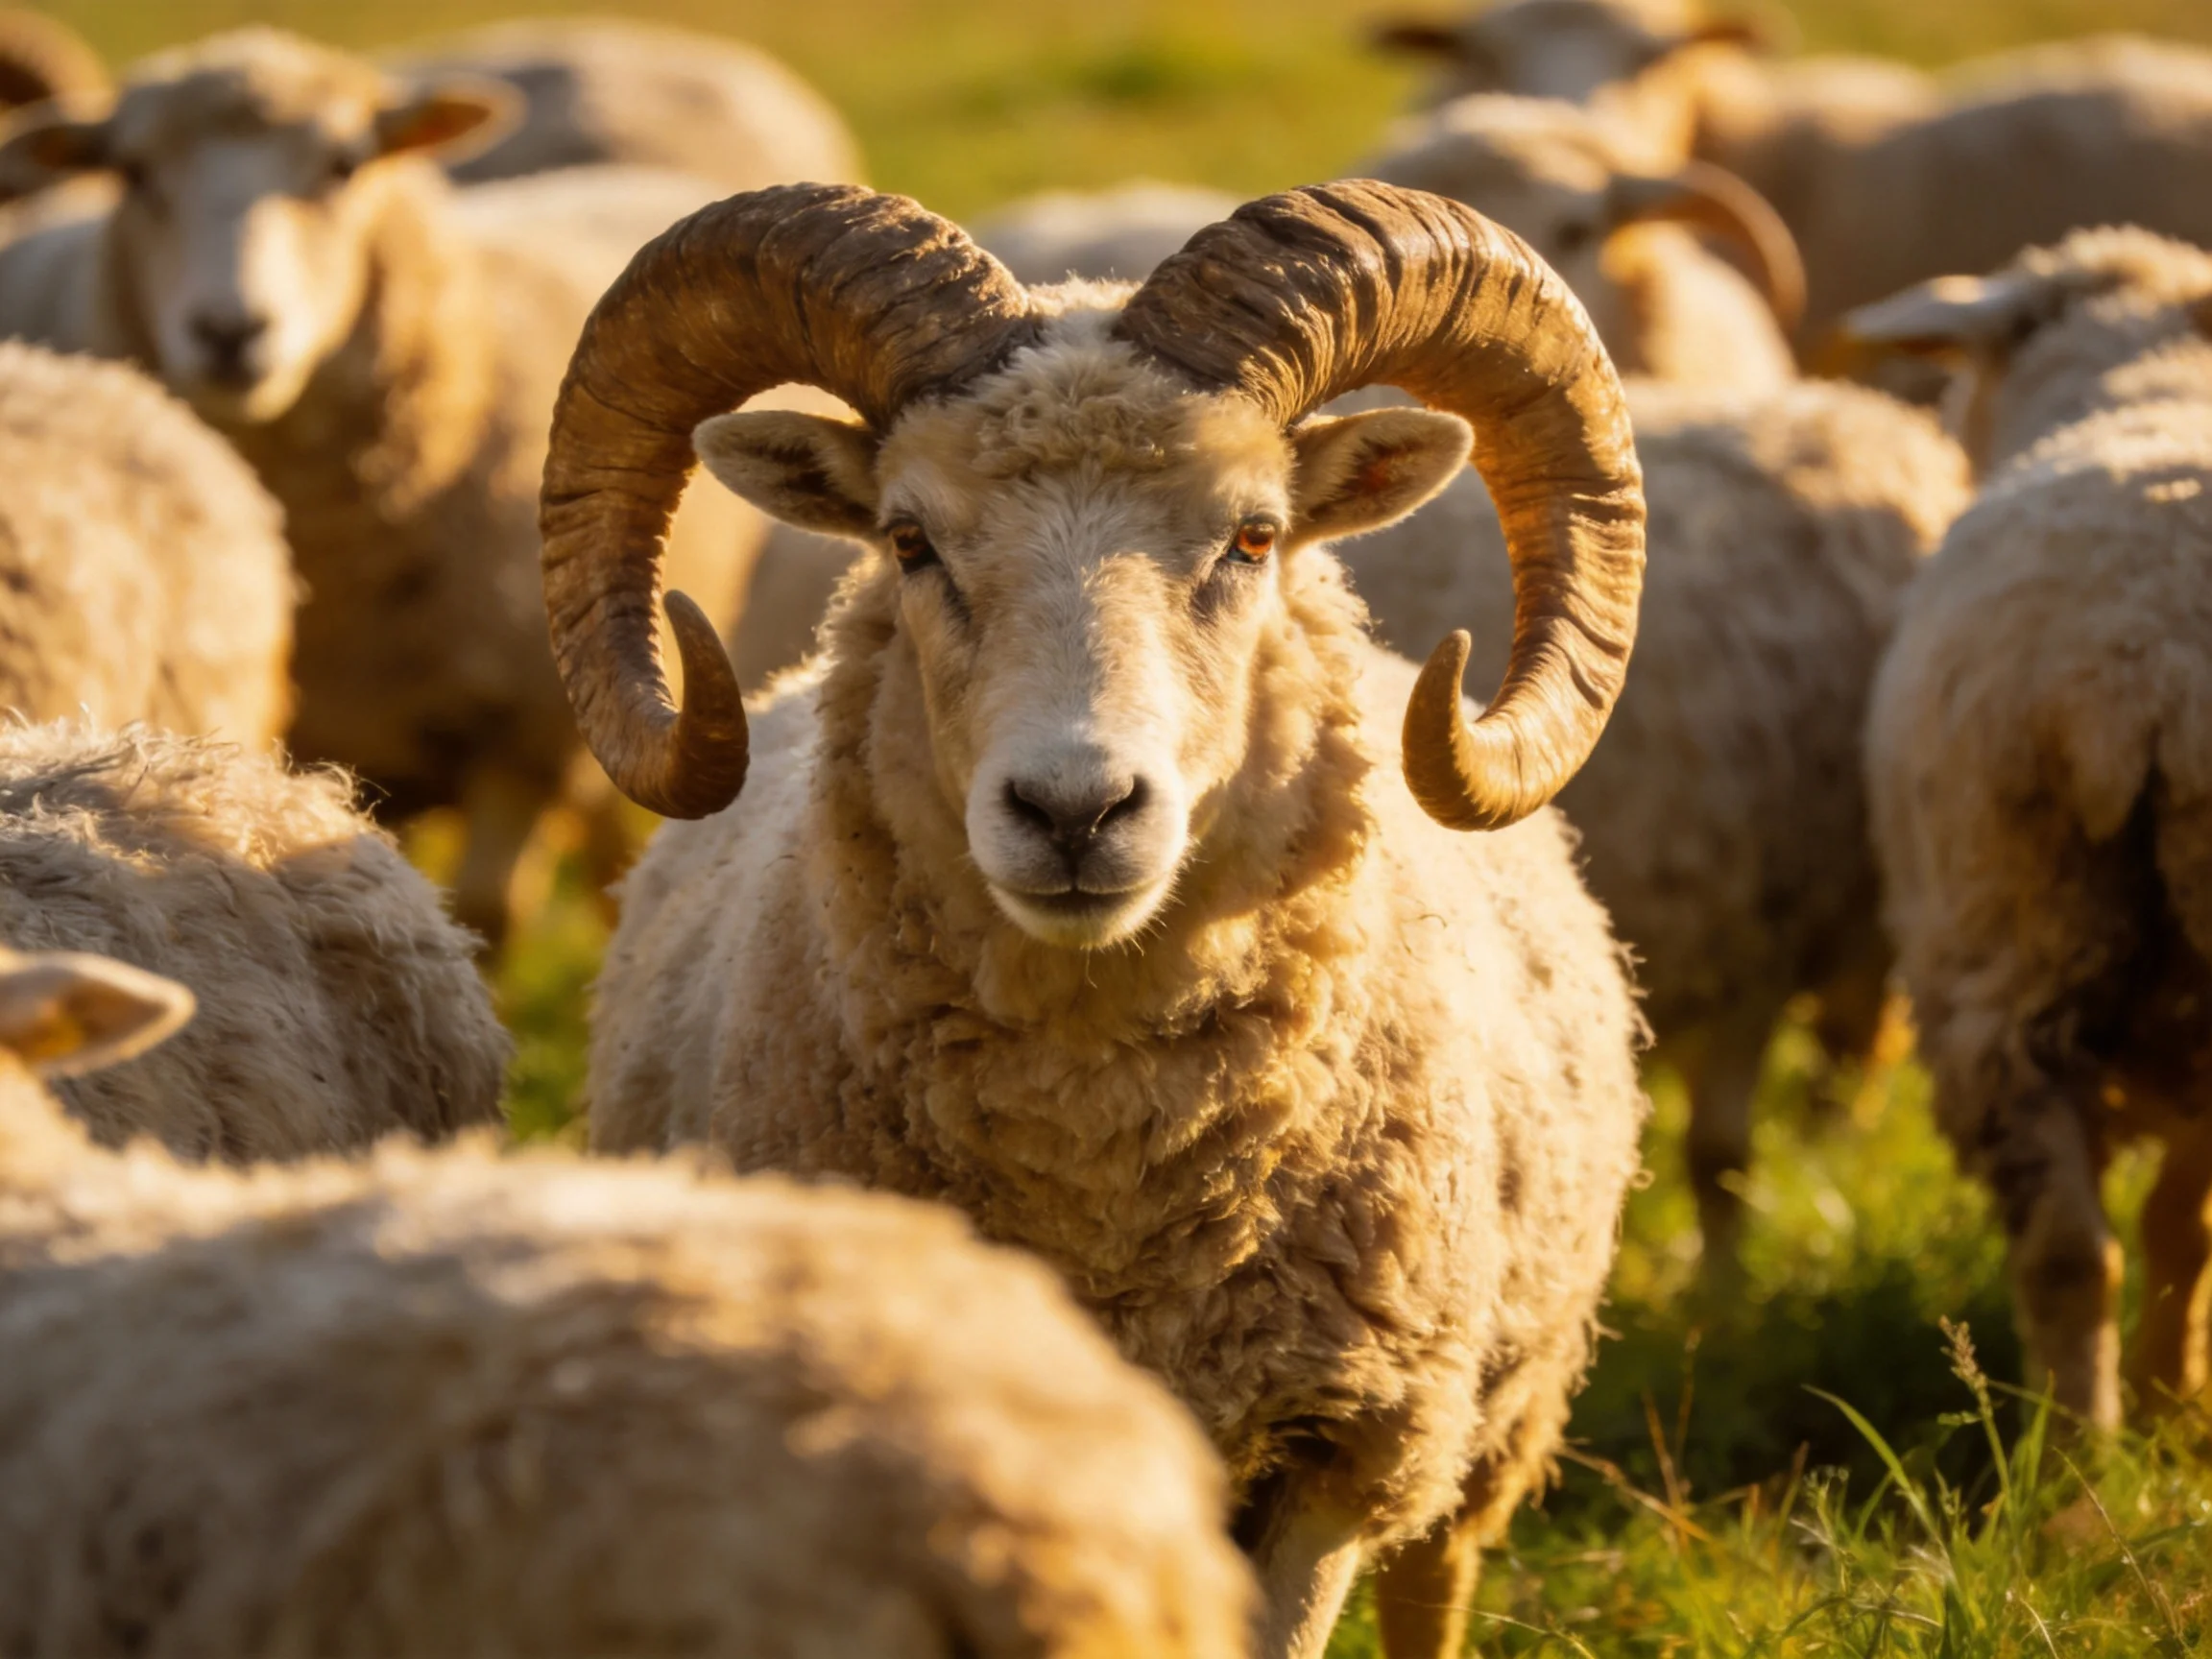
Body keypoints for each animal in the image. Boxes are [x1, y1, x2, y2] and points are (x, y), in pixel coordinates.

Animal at [537, 181, 1649, 1659]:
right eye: (908, 540)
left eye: (1254, 536)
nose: (1075, 809)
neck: (1104, 1175)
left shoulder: (1325, 1453)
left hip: (1478, 1420)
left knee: (1437, 1573)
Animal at [1843, 228, 2212, 1430]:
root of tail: (2149, 662)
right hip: (2022, 931)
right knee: (2085, 1246)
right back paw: (2098, 1442)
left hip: (2002, 927)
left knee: (2067, 1251)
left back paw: (2080, 1440)